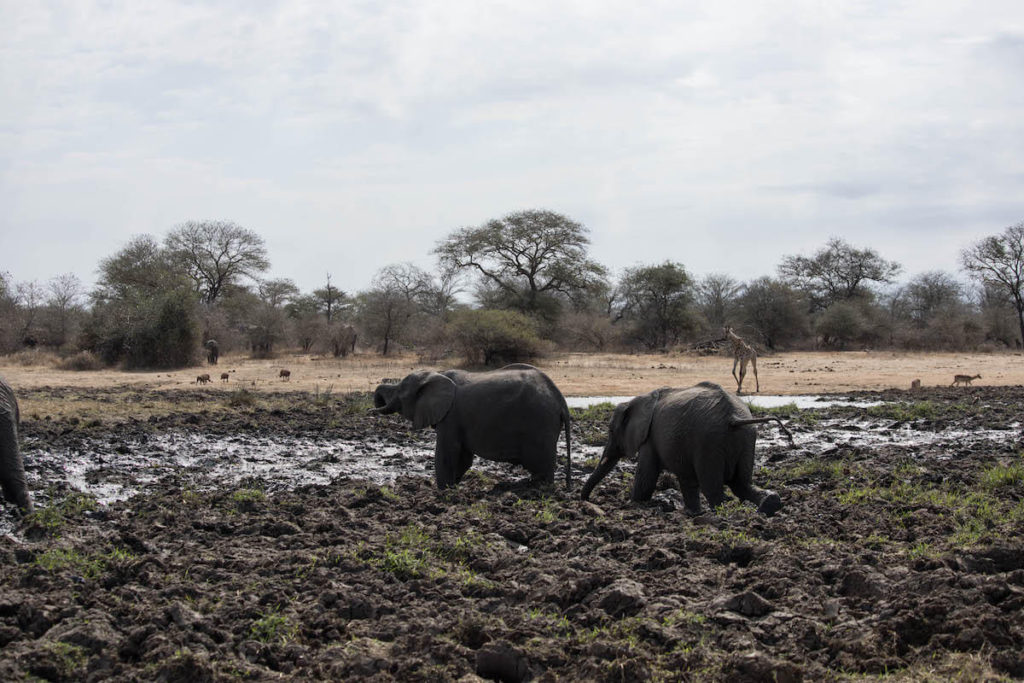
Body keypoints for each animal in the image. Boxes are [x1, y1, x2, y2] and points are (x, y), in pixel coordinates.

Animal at [372, 366, 573, 489]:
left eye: (400, 393)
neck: (436, 374)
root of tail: (560, 400)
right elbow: (463, 458)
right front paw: (453, 487)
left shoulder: (451, 417)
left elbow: (447, 454)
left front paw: (443, 491)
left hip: (539, 425)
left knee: (541, 467)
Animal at [581, 382, 786, 516]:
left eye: (611, 430)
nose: (587, 501)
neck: (637, 400)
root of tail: (735, 418)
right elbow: (686, 479)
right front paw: (691, 513)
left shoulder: (650, 438)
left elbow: (646, 478)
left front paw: (635, 504)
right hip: (747, 437)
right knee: (741, 484)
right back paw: (769, 507)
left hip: (709, 441)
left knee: (713, 487)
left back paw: (722, 514)